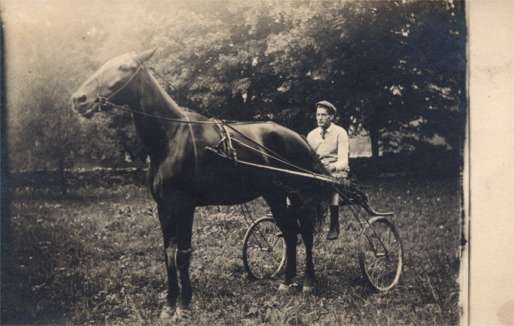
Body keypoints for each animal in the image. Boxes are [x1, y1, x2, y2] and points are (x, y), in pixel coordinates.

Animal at [71, 48, 332, 320]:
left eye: (124, 67)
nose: (79, 99)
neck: (171, 137)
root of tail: (299, 137)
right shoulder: (164, 208)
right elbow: (169, 253)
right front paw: (169, 305)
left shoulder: (185, 206)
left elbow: (183, 254)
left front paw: (184, 305)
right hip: (275, 194)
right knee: (290, 231)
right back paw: (287, 281)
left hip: (300, 194)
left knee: (306, 232)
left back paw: (307, 282)